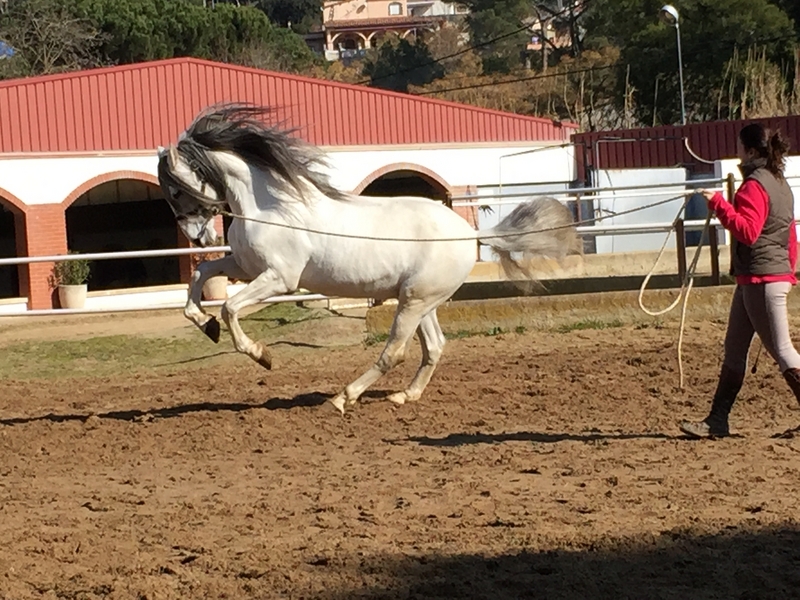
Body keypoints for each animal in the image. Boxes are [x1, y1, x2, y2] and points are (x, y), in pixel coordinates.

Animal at [156, 104, 582, 414]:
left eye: (175, 190)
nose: (199, 236)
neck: (271, 206)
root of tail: (471, 234)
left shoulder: (279, 278)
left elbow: (229, 307)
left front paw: (262, 356)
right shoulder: (246, 268)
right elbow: (202, 275)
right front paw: (205, 324)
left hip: (414, 302)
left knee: (394, 351)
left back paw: (343, 398)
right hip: (422, 301)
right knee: (434, 347)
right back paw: (404, 396)